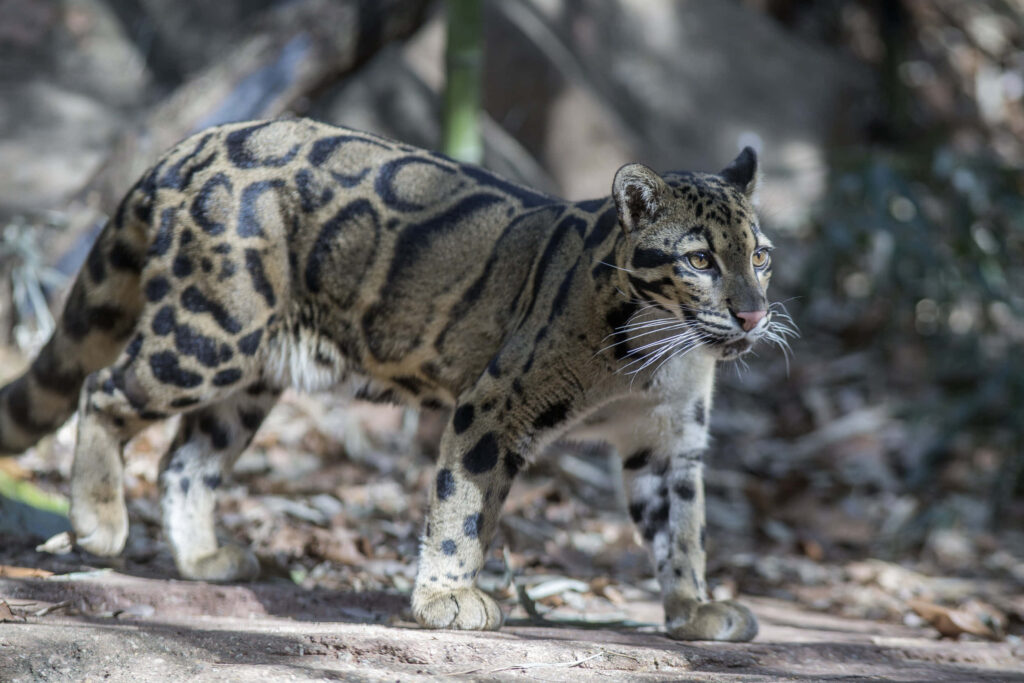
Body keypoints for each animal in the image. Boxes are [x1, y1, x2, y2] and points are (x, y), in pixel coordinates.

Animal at [0, 117, 791, 641]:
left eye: (761, 255)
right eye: (699, 260)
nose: (753, 314)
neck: (667, 355)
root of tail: (192, 143)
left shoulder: (669, 439)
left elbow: (681, 529)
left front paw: (694, 608)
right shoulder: (495, 402)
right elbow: (462, 505)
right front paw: (447, 596)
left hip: (252, 369)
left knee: (186, 456)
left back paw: (201, 555)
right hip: (212, 329)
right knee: (103, 388)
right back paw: (99, 521)